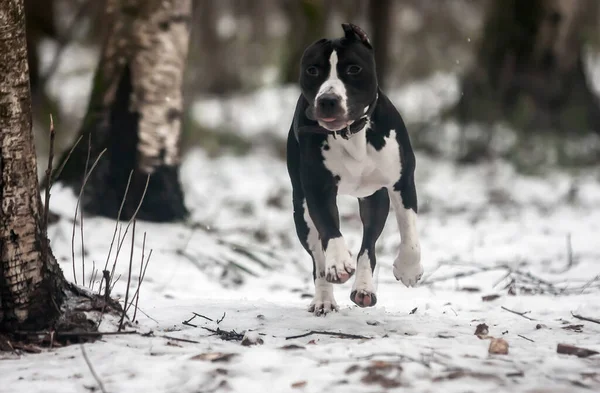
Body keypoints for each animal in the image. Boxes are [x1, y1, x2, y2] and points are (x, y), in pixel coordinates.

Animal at [288, 23, 424, 316]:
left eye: (353, 69)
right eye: (312, 70)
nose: (328, 99)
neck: (350, 132)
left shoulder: (402, 182)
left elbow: (409, 232)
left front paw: (408, 268)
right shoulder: (317, 188)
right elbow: (330, 230)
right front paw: (339, 263)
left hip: (374, 200)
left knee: (368, 246)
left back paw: (363, 289)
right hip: (300, 211)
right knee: (318, 259)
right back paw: (325, 297)